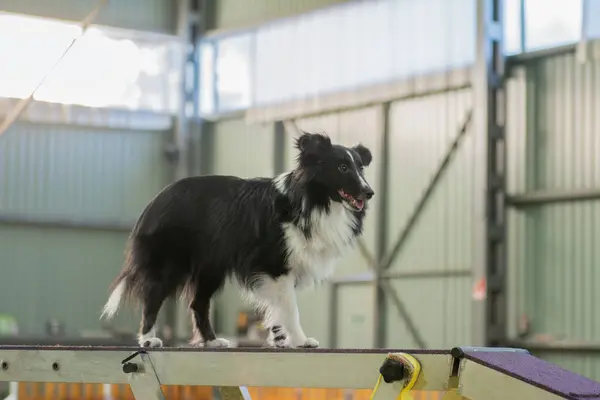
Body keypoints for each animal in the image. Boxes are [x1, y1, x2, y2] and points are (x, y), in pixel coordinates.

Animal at [102, 131, 376, 346]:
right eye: (342, 168)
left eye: (361, 168)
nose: (370, 192)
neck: (313, 199)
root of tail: (156, 200)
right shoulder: (277, 266)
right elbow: (290, 308)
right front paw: (300, 340)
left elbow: (278, 309)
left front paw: (280, 341)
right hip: (171, 261)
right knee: (153, 297)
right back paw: (149, 339)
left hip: (210, 267)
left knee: (198, 303)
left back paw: (212, 341)